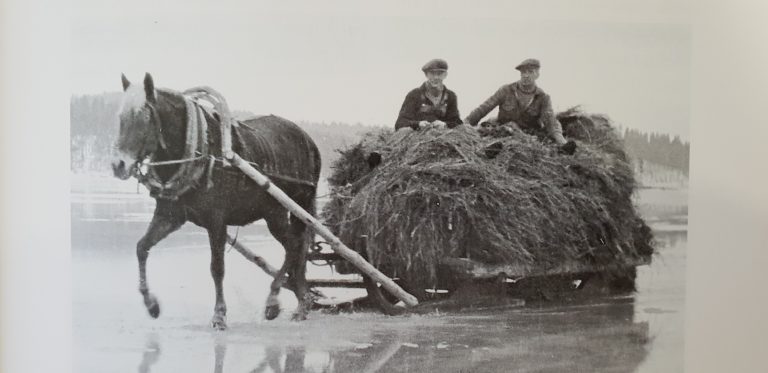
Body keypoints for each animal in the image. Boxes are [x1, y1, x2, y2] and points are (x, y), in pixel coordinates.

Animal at [111, 73, 320, 328]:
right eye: (120, 117)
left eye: (143, 117)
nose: (118, 165)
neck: (200, 151)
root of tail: (308, 141)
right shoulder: (170, 216)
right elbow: (142, 247)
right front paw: (151, 304)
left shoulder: (217, 220)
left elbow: (217, 268)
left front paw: (219, 314)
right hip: (277, 212)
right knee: (296, 247)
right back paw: (302, 301)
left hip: (283, 210)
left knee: (294, 246)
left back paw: (275, 301)